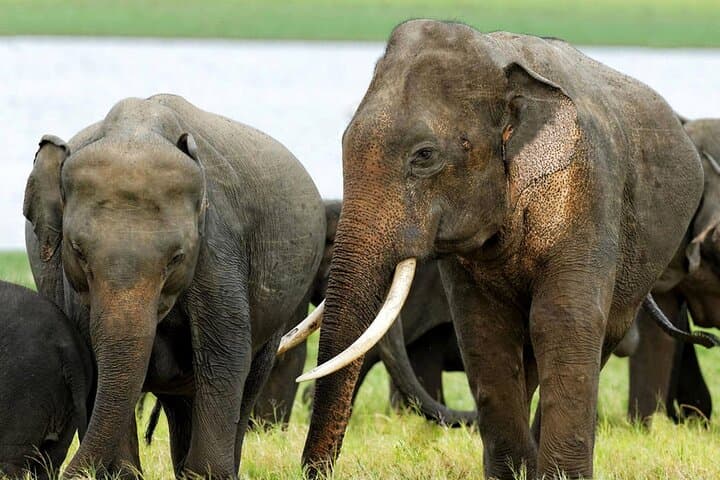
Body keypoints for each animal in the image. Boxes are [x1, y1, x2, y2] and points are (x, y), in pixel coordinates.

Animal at [23, 94, 325, 479]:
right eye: (78, 252)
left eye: (177, 257)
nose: (63, 470)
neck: (137, 128)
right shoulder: (71, 285)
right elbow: (92, 357)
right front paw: (121, 474)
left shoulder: (216, 245)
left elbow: (224, 351)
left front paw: (208, 475)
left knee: (249, 375)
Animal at [281, 20, 708, 479]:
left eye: (424, 155)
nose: (315, 470)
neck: (501, 67)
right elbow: (484, 327)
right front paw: (513, 474)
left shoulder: (588, 190)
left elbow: (562, 320)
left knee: (596, 333)